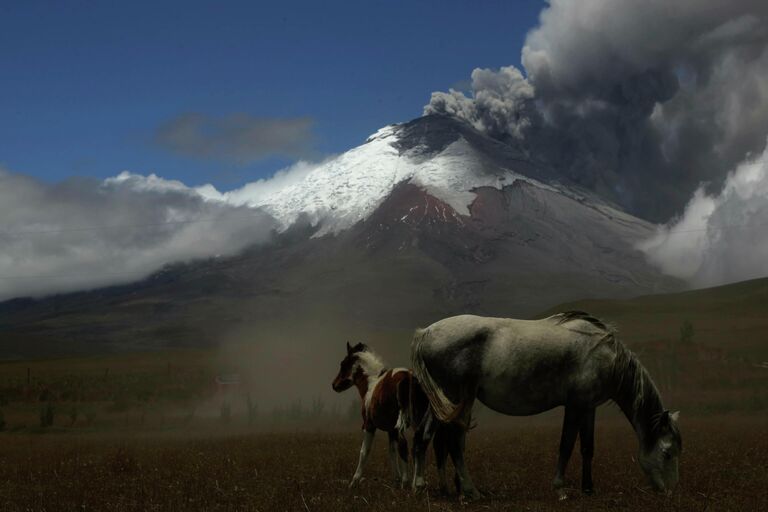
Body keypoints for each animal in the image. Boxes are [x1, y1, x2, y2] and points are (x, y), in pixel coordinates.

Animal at [412, 312, 680, 500]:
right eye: (667, 453)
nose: (670, 492)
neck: (606, 356)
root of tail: (426, 332)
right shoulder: (575, 405)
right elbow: (566, 445)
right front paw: (560, 489)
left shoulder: (588, 408)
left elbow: (587, 448)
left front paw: (588, 489)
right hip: (456, 399)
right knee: (454, 441)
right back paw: (470, 490)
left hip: (442, 403)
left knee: (423, 436)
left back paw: (422, 485)